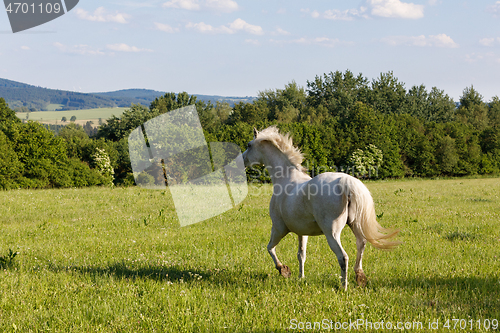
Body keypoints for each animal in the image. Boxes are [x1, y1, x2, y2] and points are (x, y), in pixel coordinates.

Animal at [241, 126, 398, 290]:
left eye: (249, 145)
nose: (242, 159)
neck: (285, 179)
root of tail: (347, 183)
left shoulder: (279, 228)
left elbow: (270, 248)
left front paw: (283, 270)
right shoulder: (302, 232)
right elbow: (301, 255)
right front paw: (301, 277)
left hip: (332, 233)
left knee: (343, 256)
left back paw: (343, 286)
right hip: (355, 225)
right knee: (361, 245)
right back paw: (360, 277)